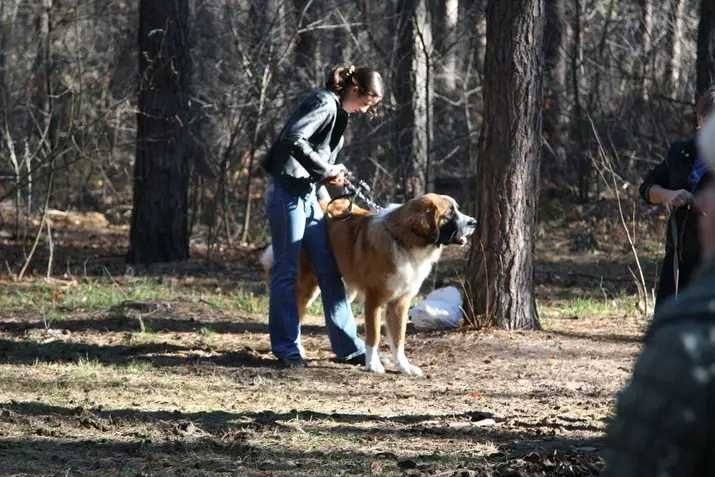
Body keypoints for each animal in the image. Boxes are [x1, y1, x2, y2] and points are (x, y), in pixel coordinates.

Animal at [262, 193, 476, 376]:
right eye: (450, 213)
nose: (474, 222)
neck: (403, 241)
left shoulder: (400, 303)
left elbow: (399, 339)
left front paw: (404, 367)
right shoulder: (374, 300)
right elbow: (374, 336)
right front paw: (373, 365)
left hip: (341, 287)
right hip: (307, 284)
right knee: (295, 313)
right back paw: (294, 351)